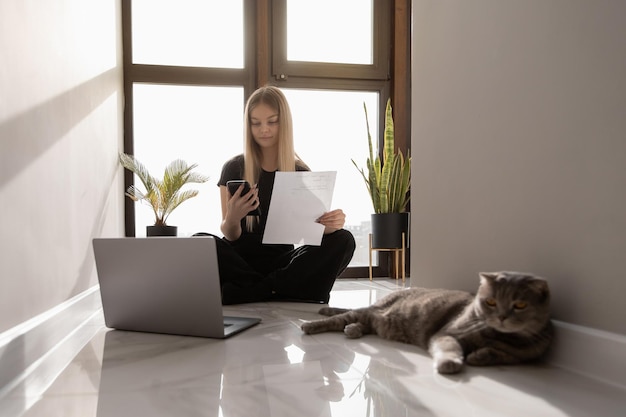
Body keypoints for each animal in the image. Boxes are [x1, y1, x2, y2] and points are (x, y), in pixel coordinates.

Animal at [302, 270, 552, 374]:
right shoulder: (447, 334)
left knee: (361, 323)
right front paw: (452, 362)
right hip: (367, 313)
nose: (501, 316)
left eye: (520, 305)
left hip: (375, 320)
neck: (497, 335)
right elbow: (450, 348)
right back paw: (311, 325)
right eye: (491, 302)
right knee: (340, 317)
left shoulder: (522, 354)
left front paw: (480, 356)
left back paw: (352, 330)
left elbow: (502, 355)